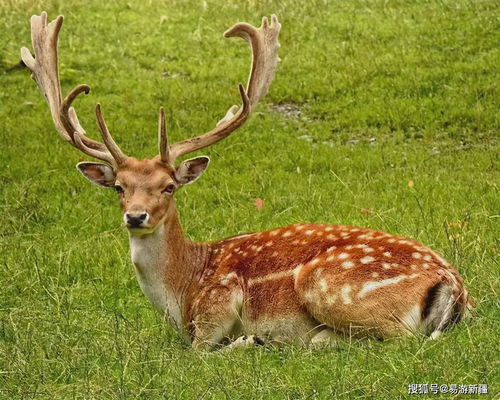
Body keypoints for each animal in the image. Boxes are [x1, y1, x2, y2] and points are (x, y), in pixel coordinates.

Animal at [20, 13, 472, 350]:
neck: (182, 291)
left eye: (169, 186)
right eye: (119, 187)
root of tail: (453, 285)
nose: (136, 216)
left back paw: (293, 341)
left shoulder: (216, 304)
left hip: (328, 285)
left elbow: (199, 351)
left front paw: (247, 340)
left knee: (399, 339)